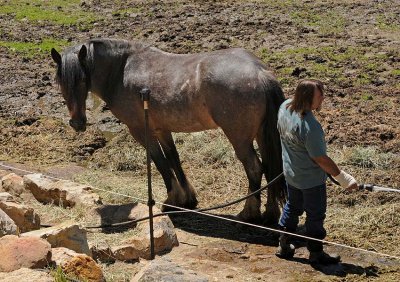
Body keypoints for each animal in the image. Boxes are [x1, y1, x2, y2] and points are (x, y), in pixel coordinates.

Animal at [51, 38, 286, 225]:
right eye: (60, 82)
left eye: (83, 79)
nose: (77, 123)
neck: (121, 71)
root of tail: (260, 73)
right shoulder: (163, 129)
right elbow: (174, 159)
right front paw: (187, 199)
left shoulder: (141, 131)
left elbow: (161, 163)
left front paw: (172, 200)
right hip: (261, 135)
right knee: (270, 167)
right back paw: (270, 214)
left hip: (239, 138)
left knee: (255, 168)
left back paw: (249, 212)